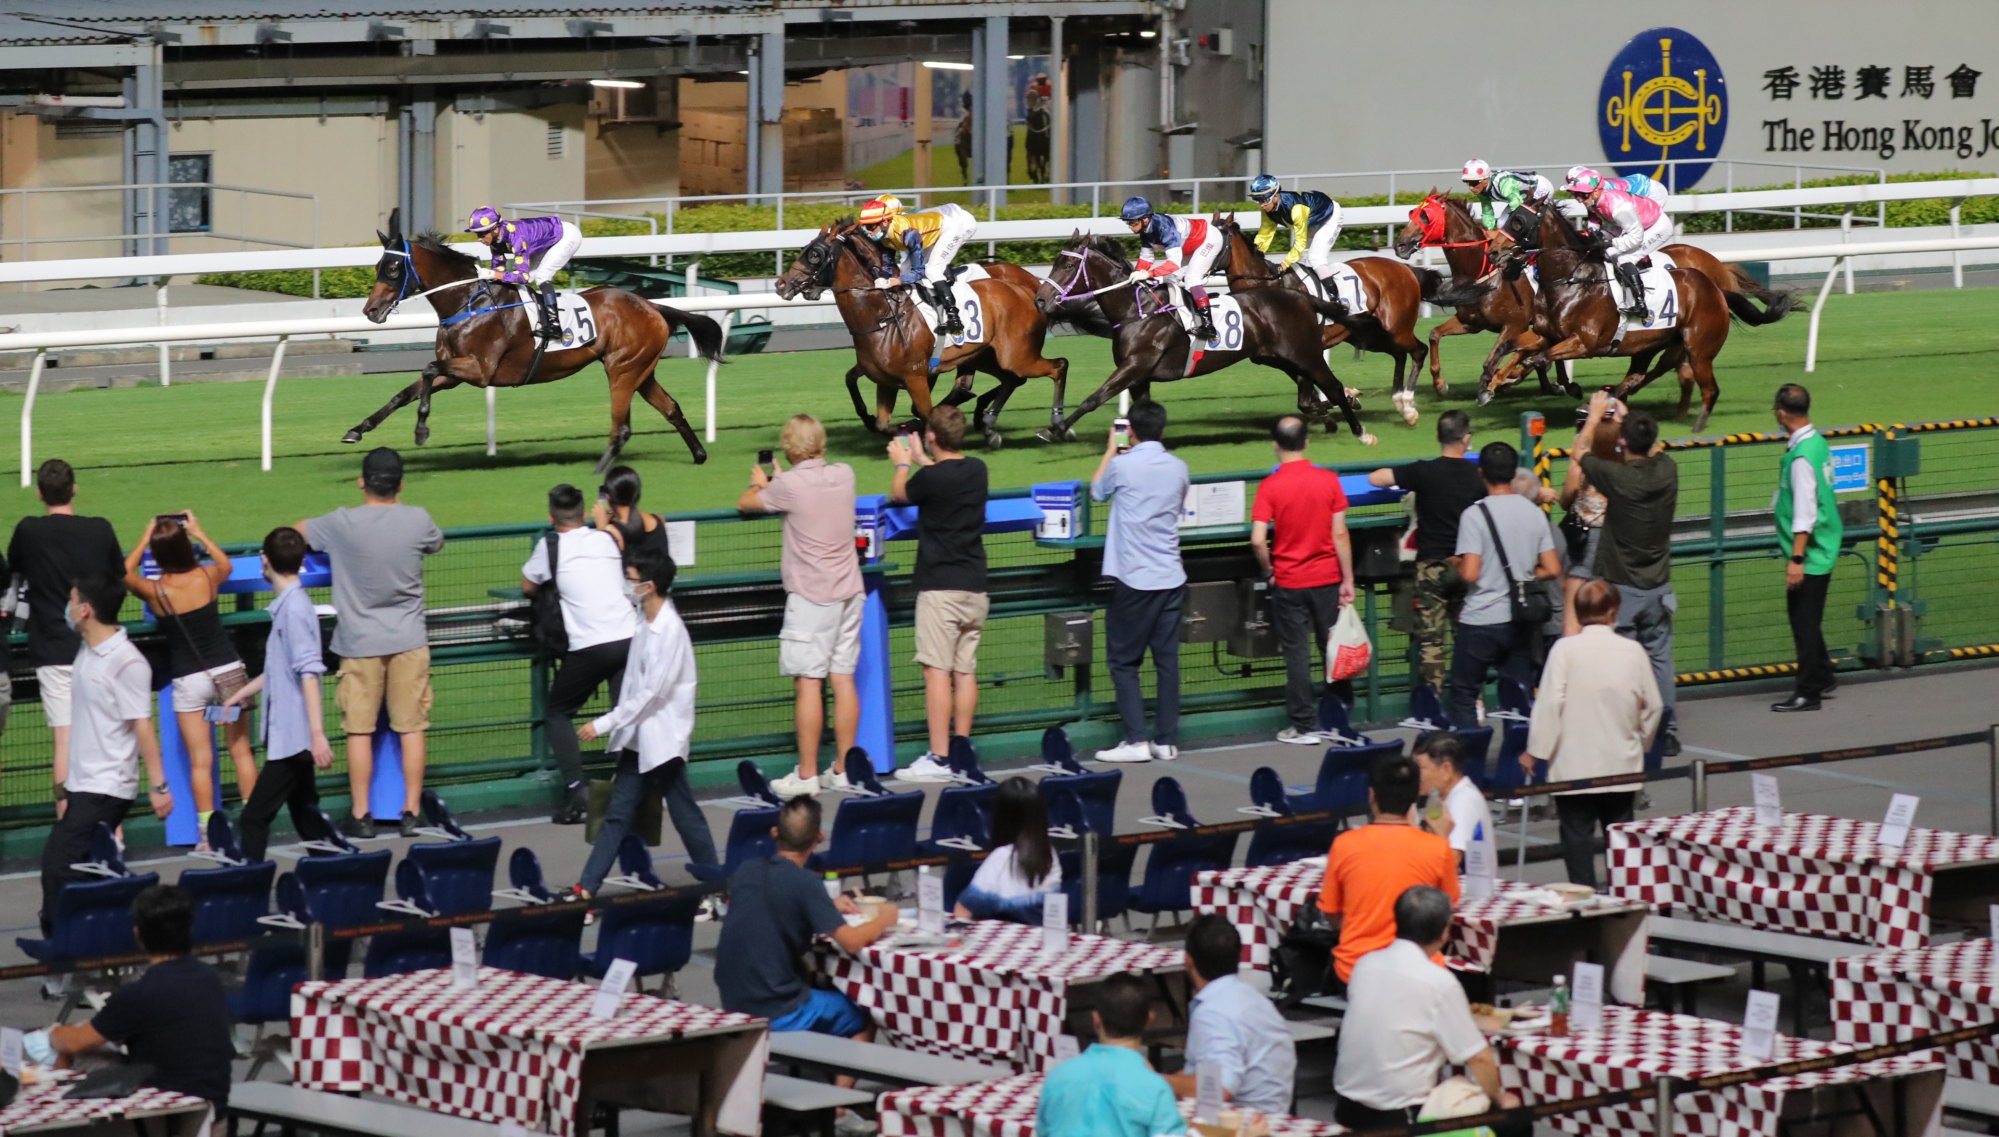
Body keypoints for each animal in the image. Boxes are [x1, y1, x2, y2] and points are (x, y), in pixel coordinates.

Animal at [355, 205, 723, 467]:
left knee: (625, 423)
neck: (468, 302)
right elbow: (405, 392)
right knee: (671, 408)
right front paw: (358, 430)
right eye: (377, 268)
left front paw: (421, 430)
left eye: (393, 269)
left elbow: (428, 370)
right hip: (641, 370)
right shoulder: (456, 372)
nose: (370, 311)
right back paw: (699, 455)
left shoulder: (479, 370)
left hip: (622, 369)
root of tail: (650, 305)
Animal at [771, 216, 1071, 447]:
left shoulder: (917, 375)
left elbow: (923, 412)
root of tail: (1029, 287)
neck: (883, 316)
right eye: (804, 248)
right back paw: (988, 425)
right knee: (1012, 379)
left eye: (815, 254)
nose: (781, 284)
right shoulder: (884, 379)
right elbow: (879, 415)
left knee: (1057, 366)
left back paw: (1057, 424)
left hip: (1015, 355)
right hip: (988, 356)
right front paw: (886, 424)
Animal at [1031, 230, 1375, 443]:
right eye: (1056, 261)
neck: (1137, 310)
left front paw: (1055, 429)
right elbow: (1140, 411)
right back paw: (1335, 410)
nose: (1040, 300)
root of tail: (1301, 296)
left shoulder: (1135, 367)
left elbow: (1094, 398)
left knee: (1331, 386)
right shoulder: (1140, 377)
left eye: (1068, 264)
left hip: (1304, 352)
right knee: (1309, 395)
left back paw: (1360, 430)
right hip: (1276, 356)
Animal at [1207, 212, 1431, 421]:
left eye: (1213, 243)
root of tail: (1405, 268)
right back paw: (1399, 400)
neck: (1267, 285)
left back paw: (1408, 405)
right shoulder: (1274, 355)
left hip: (1397, 328)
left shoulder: (1304, 349)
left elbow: (1309, 392)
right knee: (1400, 354)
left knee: (1419, 351)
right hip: (1369, 335)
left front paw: (1342, 399)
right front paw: (1344, 398)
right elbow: (1307, 390)